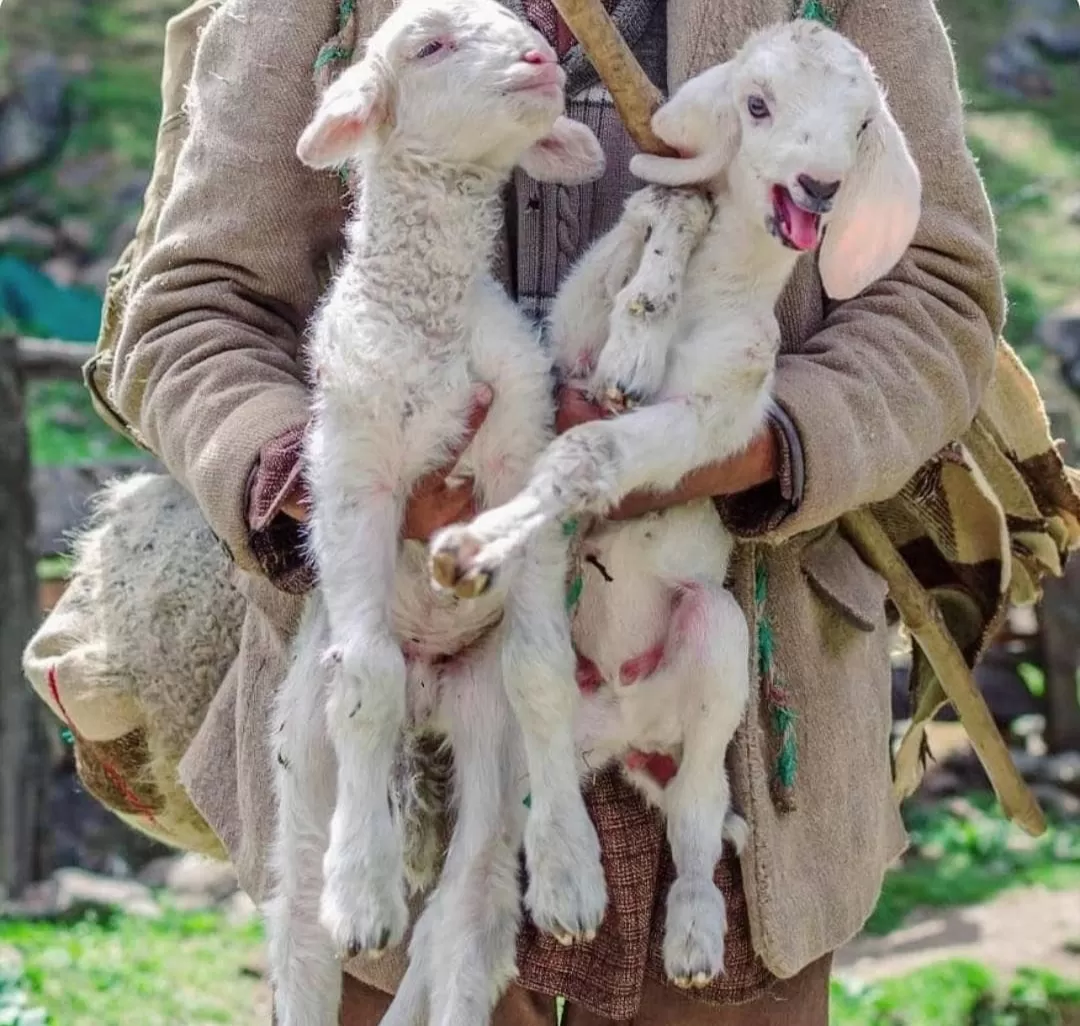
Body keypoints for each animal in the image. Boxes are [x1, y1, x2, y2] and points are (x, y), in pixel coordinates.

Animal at [266, 2, 613, 1026]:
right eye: (430, 46)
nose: (541, 60)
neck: (433, 323)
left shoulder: (518, 459)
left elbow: (544, 666)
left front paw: (573, 876)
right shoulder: (354, 477)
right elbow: (368, 675)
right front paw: (364, 898)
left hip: (484, 735)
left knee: (465, 910)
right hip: (302, 745)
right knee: (300, 920)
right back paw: (350, 894)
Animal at [427, 18, 920, 989]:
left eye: (861, 126)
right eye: (757, 104)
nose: (820, 185)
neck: (717, 291)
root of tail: (625, 734)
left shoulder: (720, 416)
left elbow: (593, 450)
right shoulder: (568, 351)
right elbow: (641, 242)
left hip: (716, 645)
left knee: (696, 810)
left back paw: (693, 933)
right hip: (543, 693)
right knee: (539, 742)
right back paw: (564, 876)